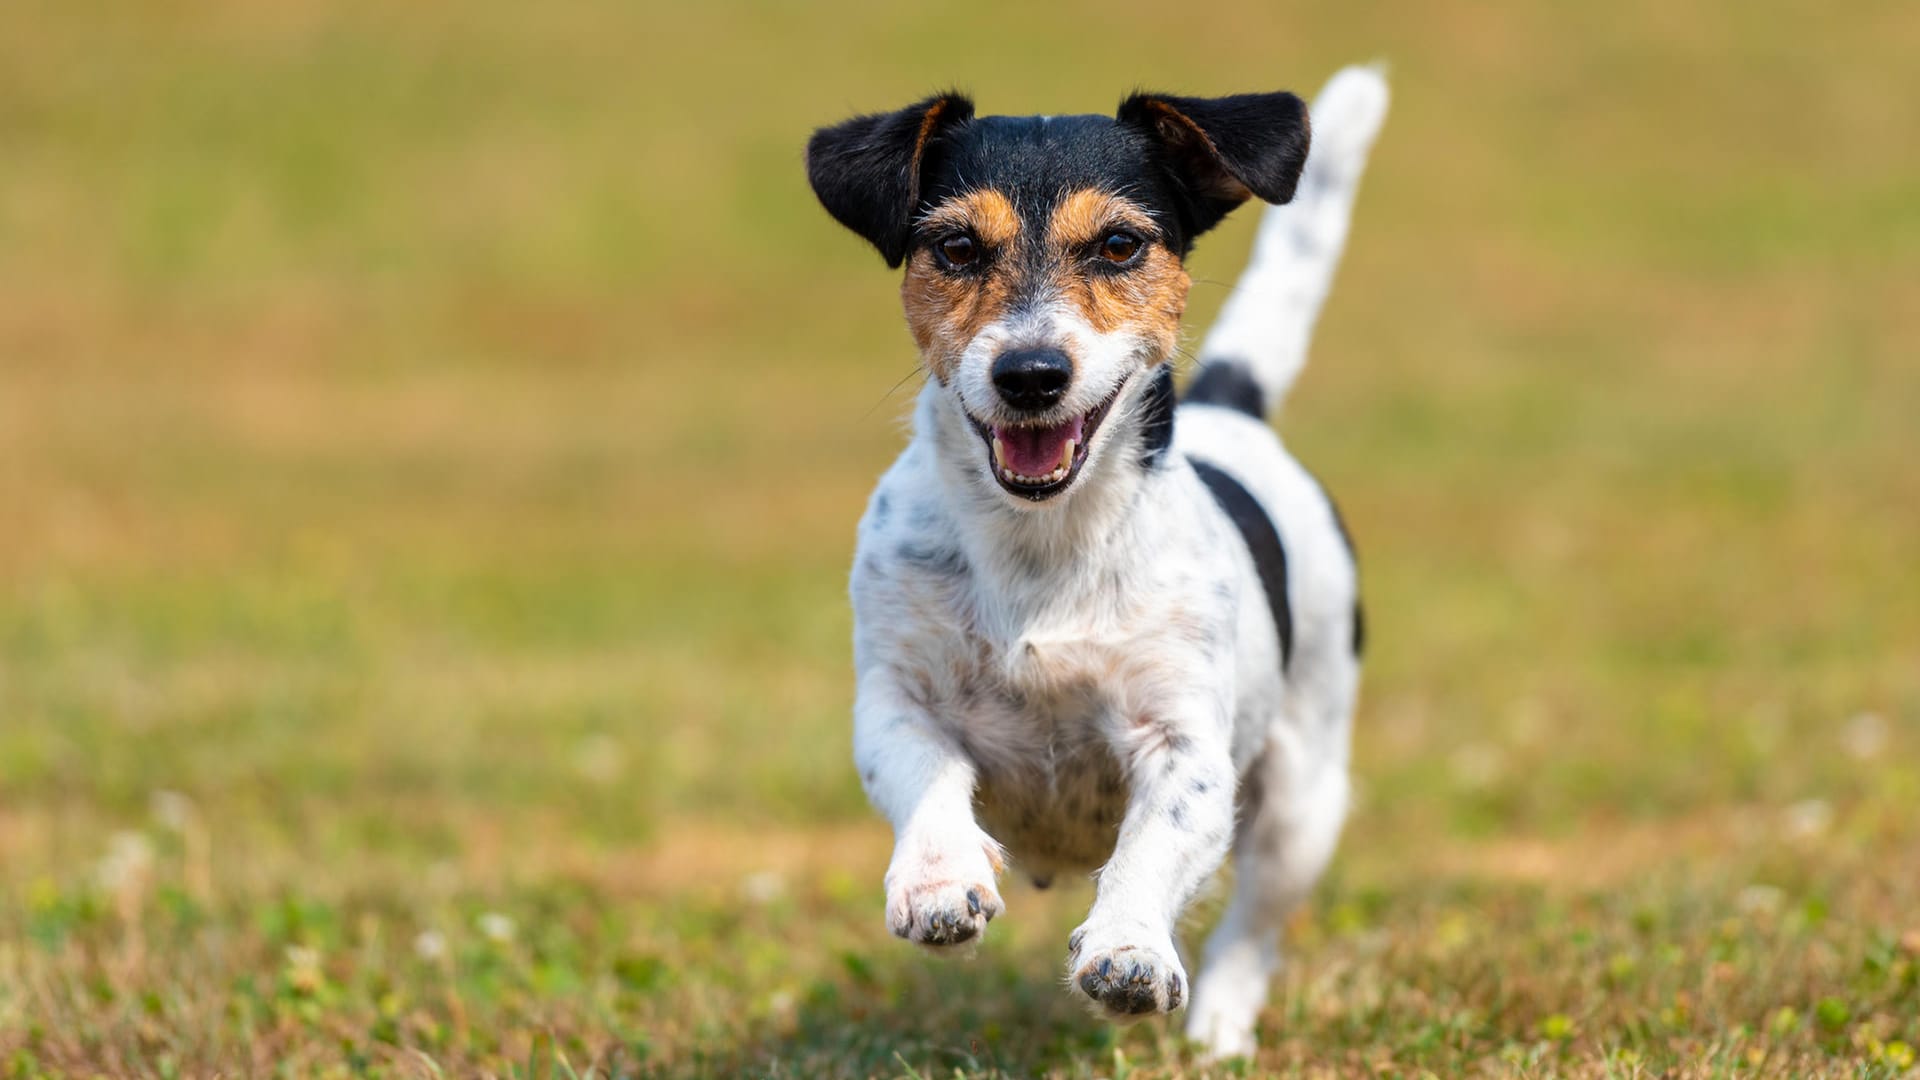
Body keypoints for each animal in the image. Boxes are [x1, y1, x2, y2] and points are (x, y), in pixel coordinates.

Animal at [802, 65, 1390, 1053]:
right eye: (956, 247)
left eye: (1119, 245)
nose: (1032, 374)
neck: (1041, 547)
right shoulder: (896, 702)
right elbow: (927, 781)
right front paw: (937, 882)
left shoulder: (1184, 742)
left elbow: (1153, 844)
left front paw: (1130, 949)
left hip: (1303, 805)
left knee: (1253, 926)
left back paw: (1220, 1032)